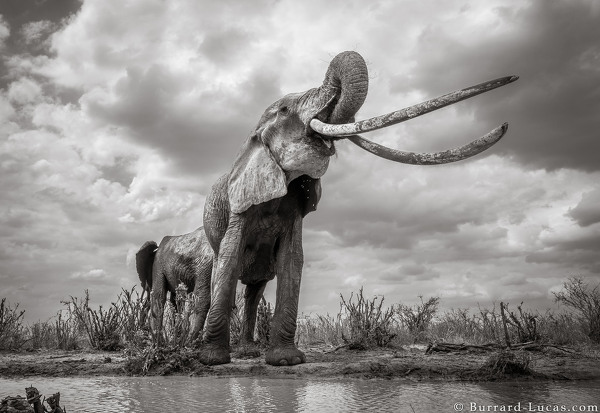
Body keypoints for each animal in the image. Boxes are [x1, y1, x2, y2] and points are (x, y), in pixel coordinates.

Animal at [195, 50, 516, 366]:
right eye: (285, 109)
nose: (513, 78)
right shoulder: (238, 204)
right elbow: (230, 257)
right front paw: (212, 360)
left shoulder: (294, 206)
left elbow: (292, 260)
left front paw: (287, 361)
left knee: (255, 289)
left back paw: (247, 352)